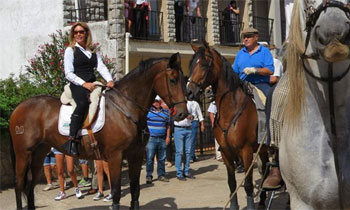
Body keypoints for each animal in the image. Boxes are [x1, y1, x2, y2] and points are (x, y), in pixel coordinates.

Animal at [9, 53, 187, 210]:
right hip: (23, 153)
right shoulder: (116, 157)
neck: (126, 108)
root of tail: (18, 108)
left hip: (39, 153)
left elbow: (135, 191)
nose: (182, 114)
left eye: (184, 80)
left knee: (29, 186)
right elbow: (115, 192)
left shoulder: (136, 156)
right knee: (19, 185)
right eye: (172, 80)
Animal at [187, 44, 270, 210]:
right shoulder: (226, 152)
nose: (189, 91)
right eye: (191, 64)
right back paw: (263, 201)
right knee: (264, 169)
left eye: (204, 64)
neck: (231, 110)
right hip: (262, 149)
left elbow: (248, 184)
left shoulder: (246, 151)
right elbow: (231, 183)